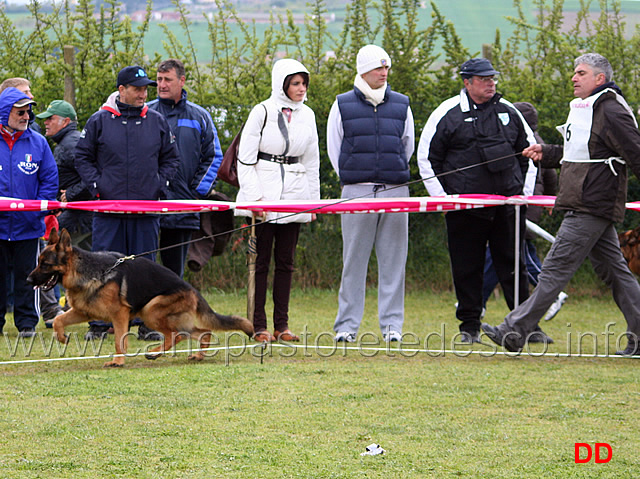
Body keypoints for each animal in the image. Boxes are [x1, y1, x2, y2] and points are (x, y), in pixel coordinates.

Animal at [27, 229, 254, 368]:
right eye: (38, 261)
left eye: (45, 264)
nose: (28, 279)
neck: (87, 271)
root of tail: (192, 290)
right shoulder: (83, 312)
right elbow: (58, 319)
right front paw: (62, 337)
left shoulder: (119, 315)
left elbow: (119, 340)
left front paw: (118, 361)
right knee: (202, 332)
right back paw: (197, 355)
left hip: (150, 311)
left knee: (176, 335)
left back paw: (154, 353)